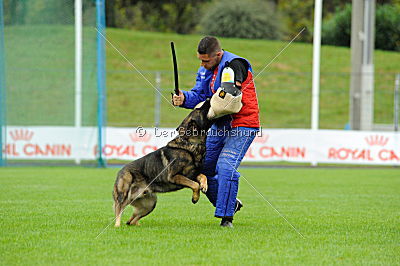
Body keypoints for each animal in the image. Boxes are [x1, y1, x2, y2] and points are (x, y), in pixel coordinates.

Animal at [112, 98, 212, 228]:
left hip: (150, 204)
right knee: (119, 210)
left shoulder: (192, 174)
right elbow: (195, 185)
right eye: (199, 109)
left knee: (131, 221)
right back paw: (117, 225)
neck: (190, 144)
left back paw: (137, 225)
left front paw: (204, 185)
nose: (208, 99)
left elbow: (202, 176)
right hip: (124, 196)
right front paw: (195, 198)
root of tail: (121, 170)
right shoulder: (174, 176)